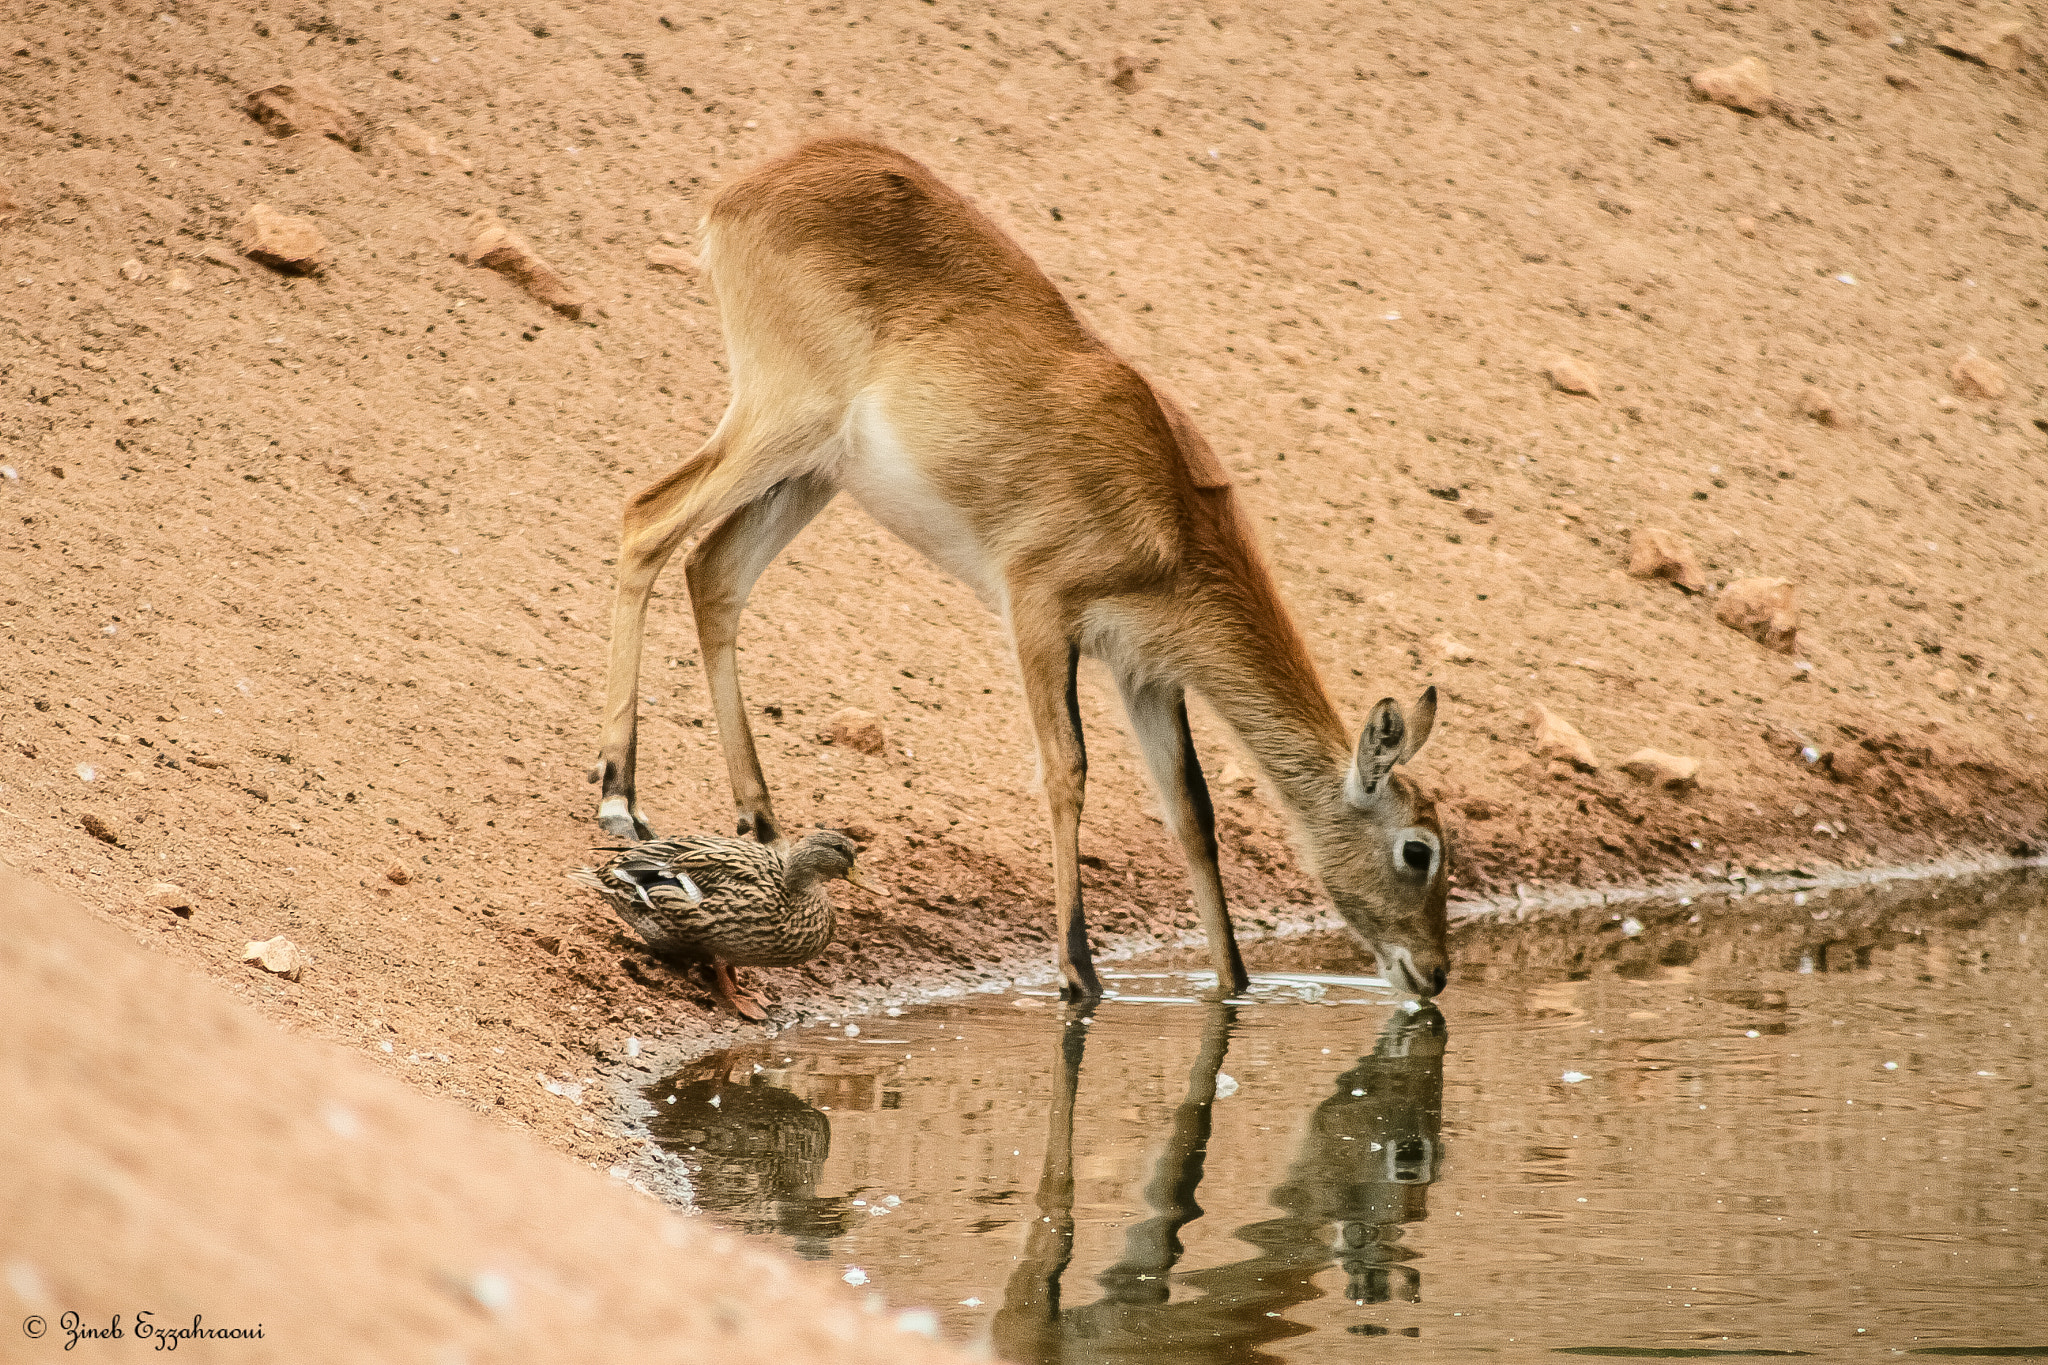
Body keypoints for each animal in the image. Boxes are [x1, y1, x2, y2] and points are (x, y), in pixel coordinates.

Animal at [594, 137, 1449, 999]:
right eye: (1419, 849)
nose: (1438, 972)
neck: (1173, 517)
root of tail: (758, 180)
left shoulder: (1146, 670)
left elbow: (1191, 809)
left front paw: (1234, 985)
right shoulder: (1038, 605)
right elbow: (1067, 770)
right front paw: (1079, 973)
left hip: (815, 472)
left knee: (714, 571)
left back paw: (762, 820)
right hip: (780, 422)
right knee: (645, 519)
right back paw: (619, 800)